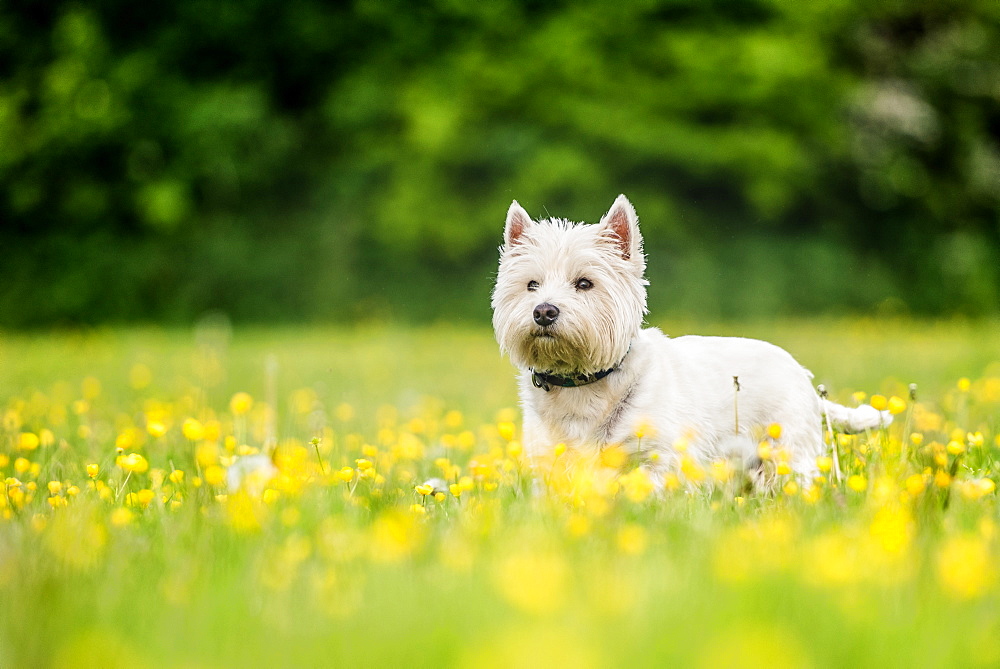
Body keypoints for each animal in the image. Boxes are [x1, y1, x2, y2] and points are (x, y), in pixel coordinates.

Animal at [492, 193, 892, 486]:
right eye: (531, 285)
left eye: (585, 283)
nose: (544, 311)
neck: (583, 386)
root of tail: (804, 377)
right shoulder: (550, 461)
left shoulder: (662, 458)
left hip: (787, 449)